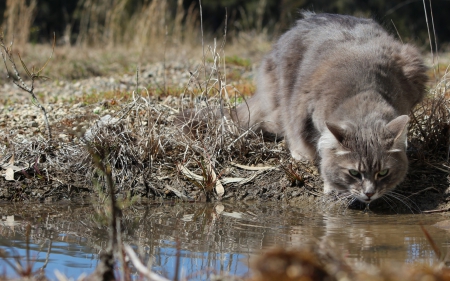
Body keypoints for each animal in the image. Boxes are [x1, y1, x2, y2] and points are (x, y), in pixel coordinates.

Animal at [230, 12, 428, 201]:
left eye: (383, 173)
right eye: (354, 173)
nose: (369, 193)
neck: (366, 92)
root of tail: (305, 20)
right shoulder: (310, 115)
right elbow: (323, 151)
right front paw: (332, 186)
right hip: (286, 94)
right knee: (289, 127)